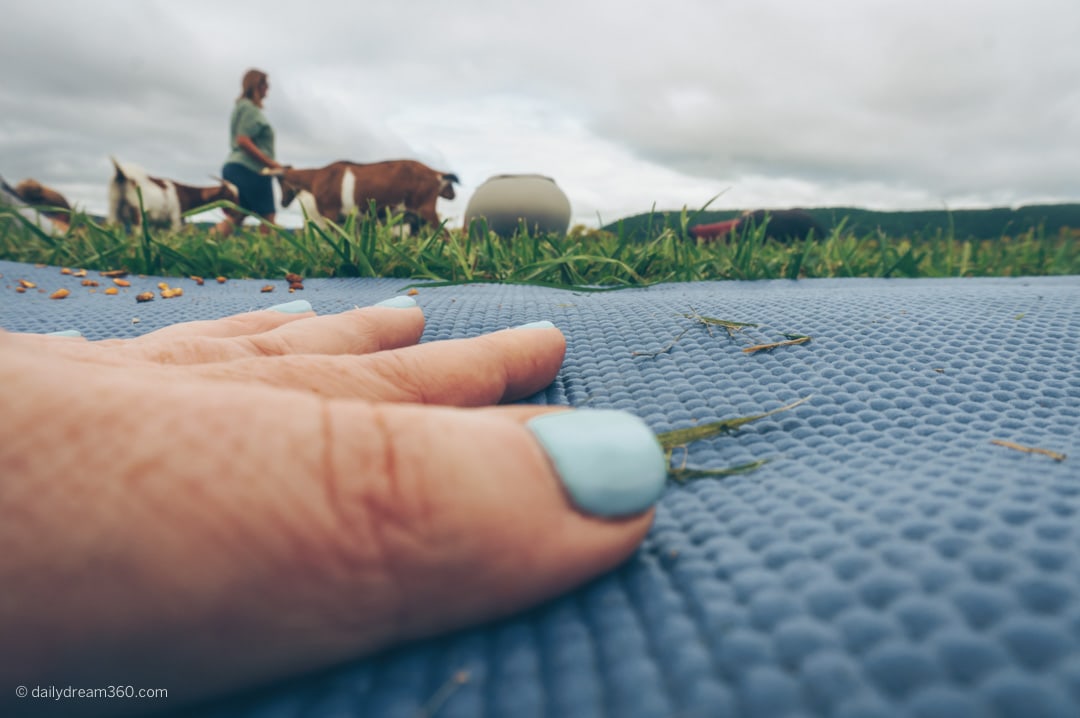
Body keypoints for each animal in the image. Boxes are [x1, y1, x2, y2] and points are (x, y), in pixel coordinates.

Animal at [108, 157, 238, 229]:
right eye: (229, 195)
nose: (237, 212)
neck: (184, 192)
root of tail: (121, 172)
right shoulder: (176, 219)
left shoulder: (158, 224)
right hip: (137, 211)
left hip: (113, 207)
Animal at [268, 158, 460, 227]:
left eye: (280, 182)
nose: (282, 202)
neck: (317, 177)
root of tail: (436, 173)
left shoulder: (330, 213)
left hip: (425, 208)